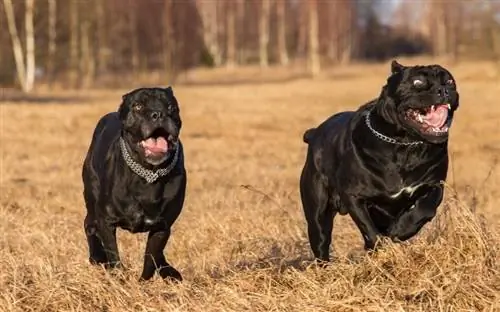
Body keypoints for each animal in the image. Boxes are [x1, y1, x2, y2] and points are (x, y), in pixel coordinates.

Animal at [83, 86, 187, 282]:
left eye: (171, 107)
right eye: (138, 106)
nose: (158, 114)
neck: (149, 173)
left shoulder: (162, 226)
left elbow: (151, 256)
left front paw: (143, 282)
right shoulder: (106, 221)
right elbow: (114, 253)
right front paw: (118, 277)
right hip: (91, 197)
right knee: (89, 225)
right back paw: (97, 257)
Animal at [298, 60, 458, 260]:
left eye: (450, 81)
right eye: (418, 82)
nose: (443, 89)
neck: (406, 145)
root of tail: (314, 133)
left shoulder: (434, 185)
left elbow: (424, 209)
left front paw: (401, 230)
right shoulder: (354, 195)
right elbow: (369, 230)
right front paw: (383, 248)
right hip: (318, 214)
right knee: (321, 243)